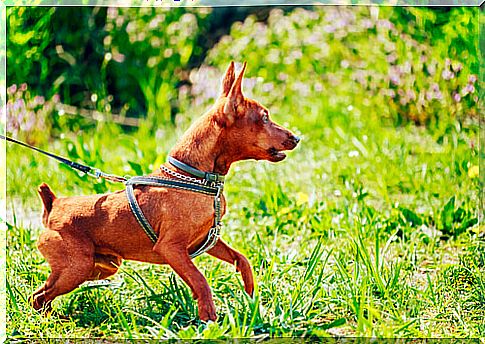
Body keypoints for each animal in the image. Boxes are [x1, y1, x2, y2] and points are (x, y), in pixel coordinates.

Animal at [31, 61, 298, 320]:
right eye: (264, 118)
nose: (296, 137)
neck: (194, 177)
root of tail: (53, 205)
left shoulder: (207, 240)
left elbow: (242, 260)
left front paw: (251, 294)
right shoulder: (172, 248)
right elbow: (200, 281)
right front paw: (208, 319)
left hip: (101, 267)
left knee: (41, 294)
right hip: (78, 267)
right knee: (38, 296)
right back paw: (53, 320)